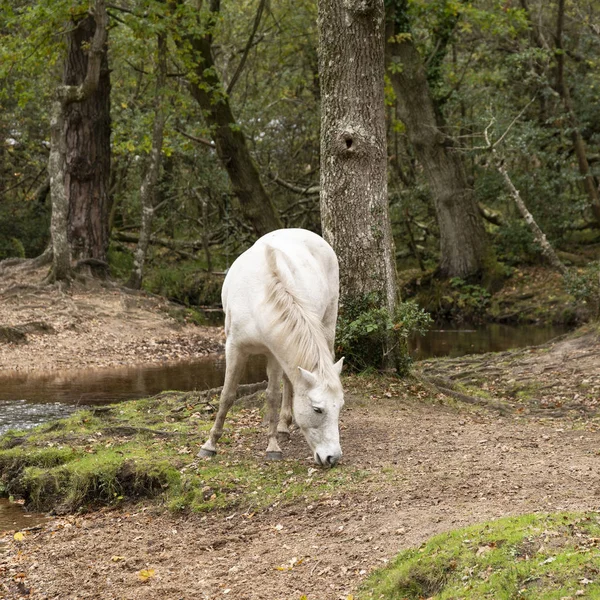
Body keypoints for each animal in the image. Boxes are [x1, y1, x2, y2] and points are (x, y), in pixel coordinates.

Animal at [199, 227, 344, 466]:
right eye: (317, 409)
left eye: (340, 406)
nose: (332, 458)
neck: (258, 299)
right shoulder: (234, 348)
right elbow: (227, 394)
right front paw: (210, 445)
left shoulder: (273, 352)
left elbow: (272, 396)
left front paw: (272, 447)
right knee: (289, 379)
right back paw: (284, 427)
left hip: (328, 320)